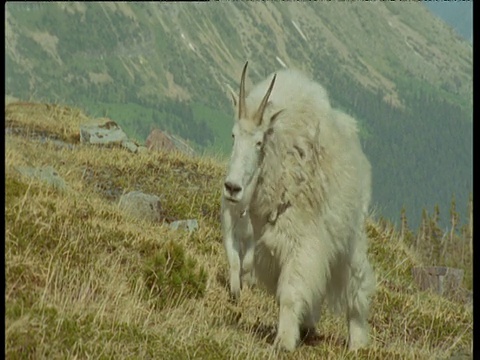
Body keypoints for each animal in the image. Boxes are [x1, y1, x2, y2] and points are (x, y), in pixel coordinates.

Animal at [223, 62, 376, 352]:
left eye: (259, 142)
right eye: (233, 135)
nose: (232, 187)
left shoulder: (303, 241)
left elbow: (291, 293)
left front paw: (283, 341)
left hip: (351, 236)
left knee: (356, 284)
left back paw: (358, 342)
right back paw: (308, 326)